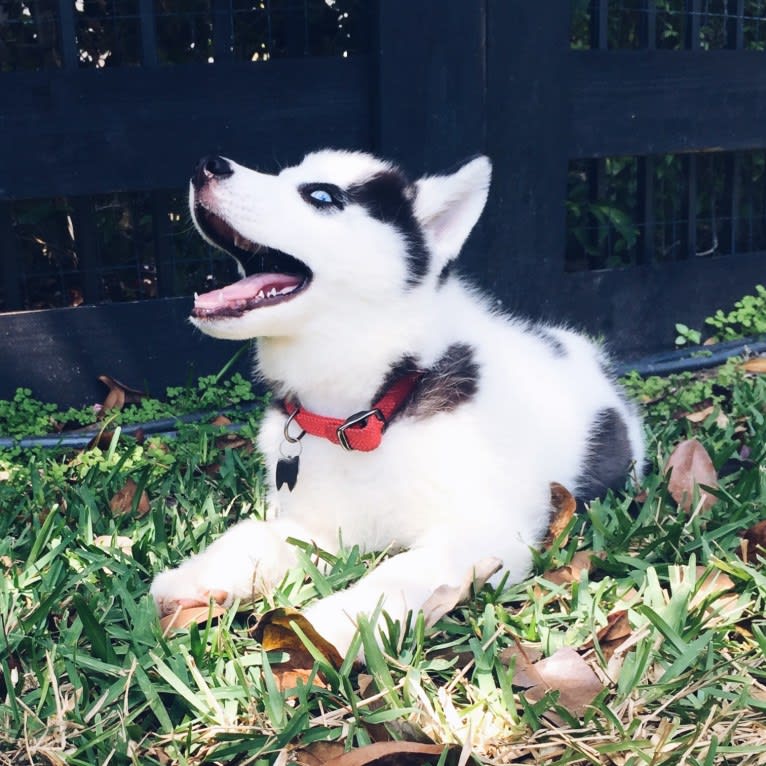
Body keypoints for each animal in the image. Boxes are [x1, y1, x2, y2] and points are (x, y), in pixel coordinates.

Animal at [148, 152, 640, 660]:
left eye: (321, 195)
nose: (207, 165)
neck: (362, 415)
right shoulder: (317, 524)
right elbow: (257, 536)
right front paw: (197, 576)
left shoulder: (486, 533)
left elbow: (398, 574)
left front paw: (330, 624)